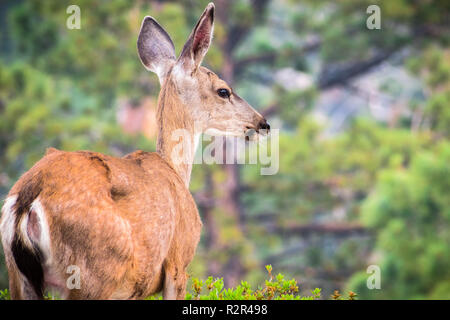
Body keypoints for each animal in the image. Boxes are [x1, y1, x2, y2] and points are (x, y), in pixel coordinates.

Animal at [0, 3, 268, 300]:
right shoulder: (178, 263)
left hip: (18, 275)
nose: (262, 123)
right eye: (223, 91)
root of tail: (28, 199)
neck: (174, 170)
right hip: (91, 275)